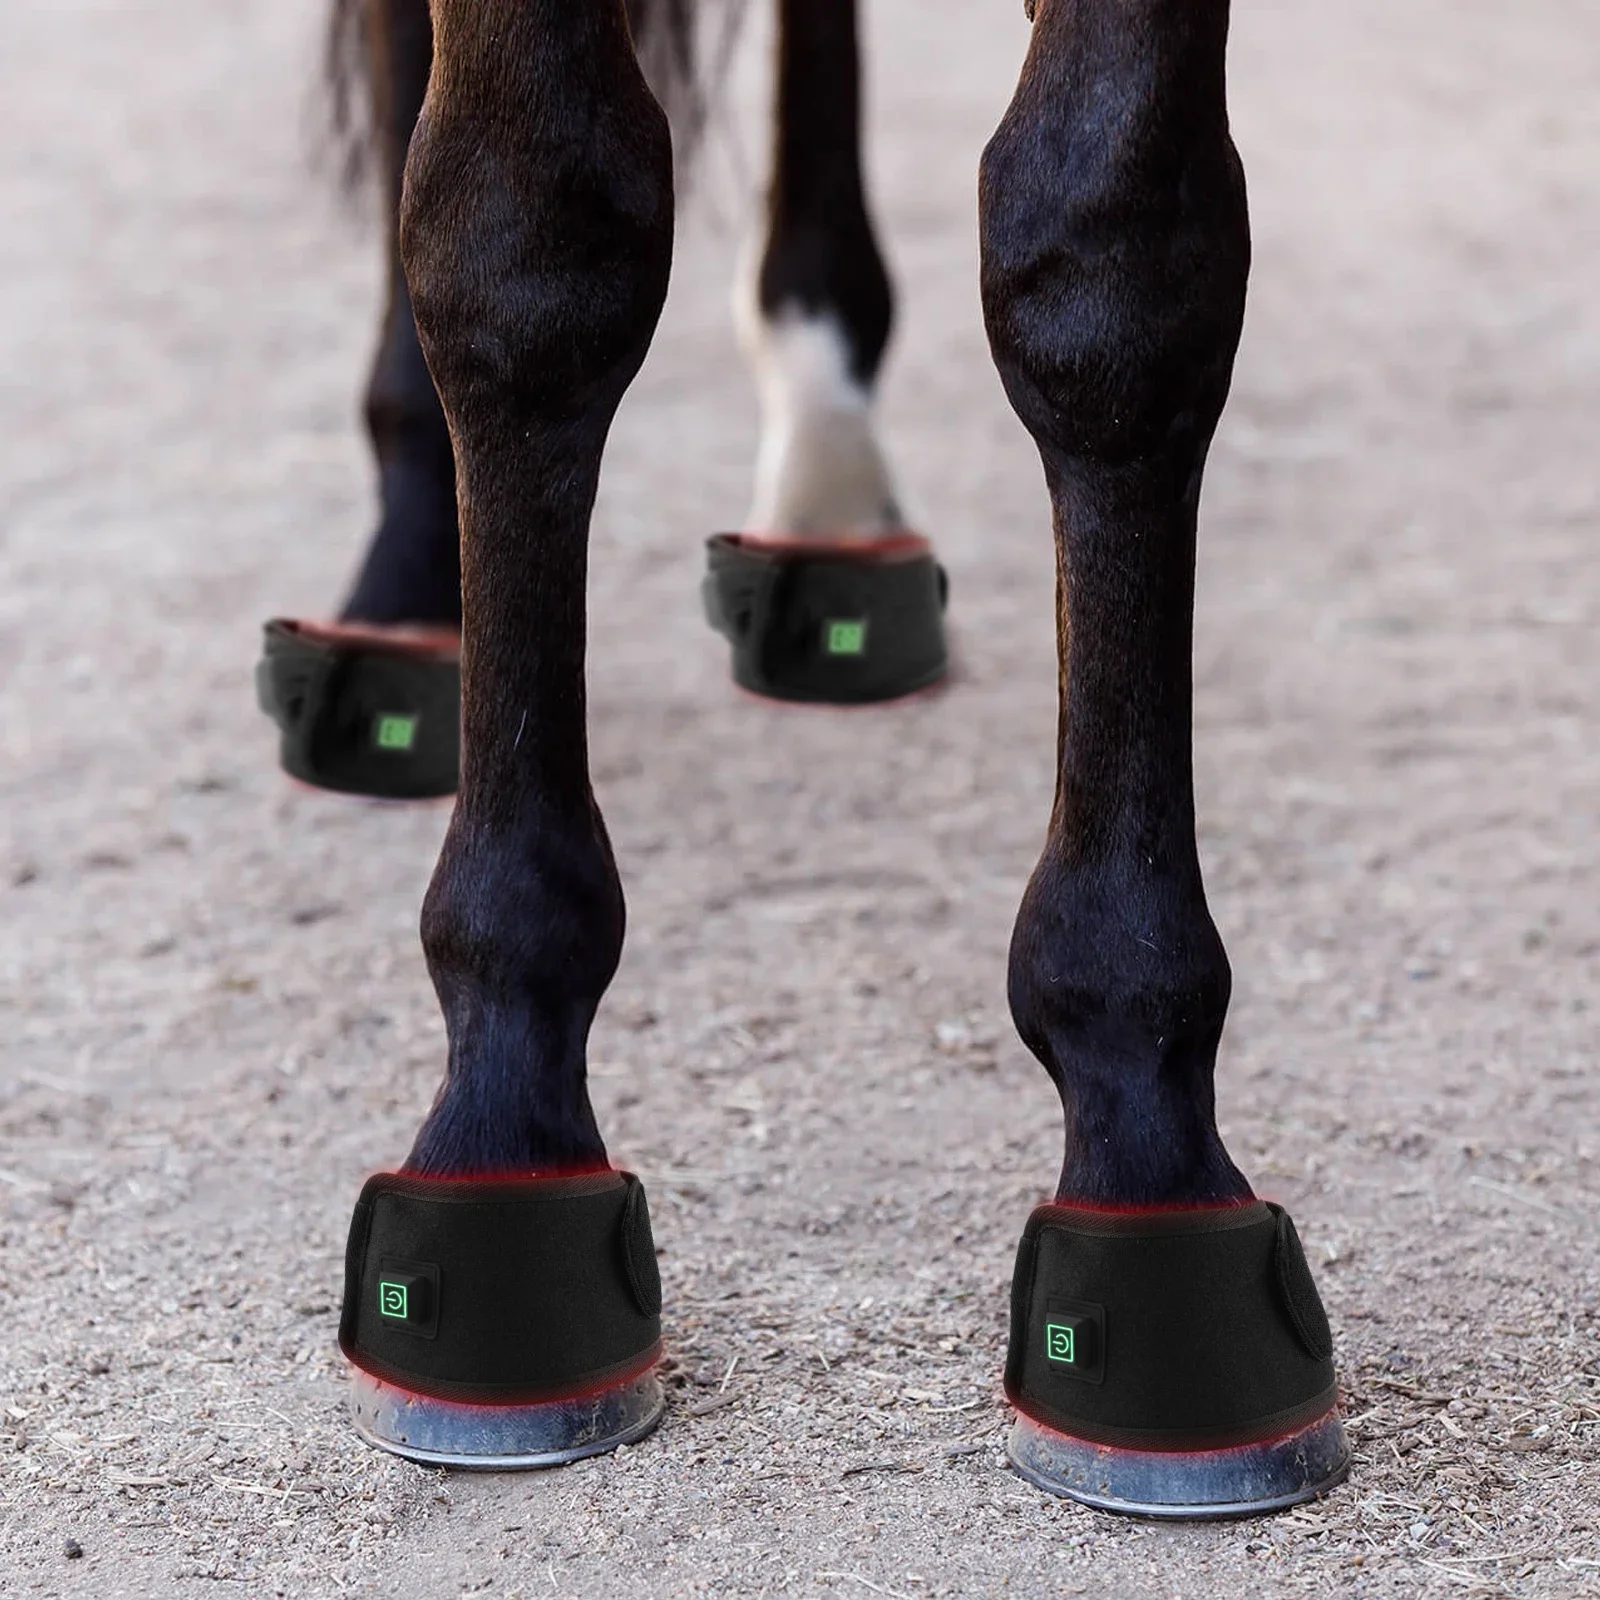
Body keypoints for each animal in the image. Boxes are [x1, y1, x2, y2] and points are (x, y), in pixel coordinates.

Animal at [277, 0, 1350, 1519]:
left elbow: (1115, 266)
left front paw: (1145, 1137)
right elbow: (524, 238)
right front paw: (501, 1117)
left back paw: (831, 497)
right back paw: (406, 585)